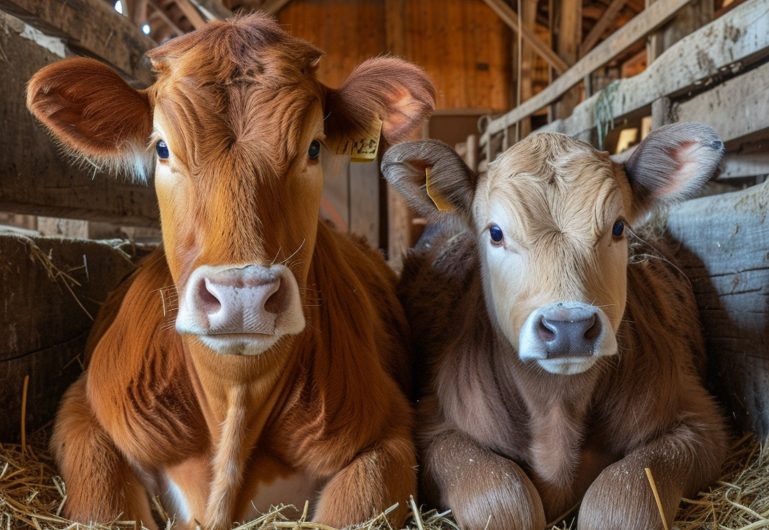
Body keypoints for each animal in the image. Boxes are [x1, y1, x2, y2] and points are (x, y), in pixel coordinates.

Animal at [27, 14, 436, 524]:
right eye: (162, 148)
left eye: (314, 148)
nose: (243, 295)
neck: (234, 406)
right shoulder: (82, 411)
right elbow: (102, 506)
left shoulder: (390, 430)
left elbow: (358, 505)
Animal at [380, 125, 728, 528]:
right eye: (495, 232)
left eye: (619, 226)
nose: (569, 328)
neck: (557, 407)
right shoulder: (435, 427)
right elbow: (504, 496)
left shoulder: (700, 421)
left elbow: (620, 501)